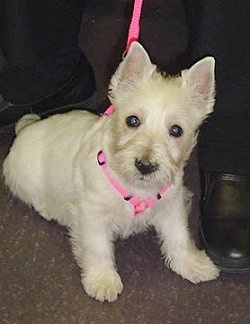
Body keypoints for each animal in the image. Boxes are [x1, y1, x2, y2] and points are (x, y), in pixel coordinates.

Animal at [3, 41, 219, 302]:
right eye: (132, 120)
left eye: (176, 130)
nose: (145, 165)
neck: (134, 185)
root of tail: (25, 129)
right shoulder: (92, 214)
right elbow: (98, 248)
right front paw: (102, 281)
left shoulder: (172, 205)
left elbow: (179, 237)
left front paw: (193, 265)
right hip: (29, 178)